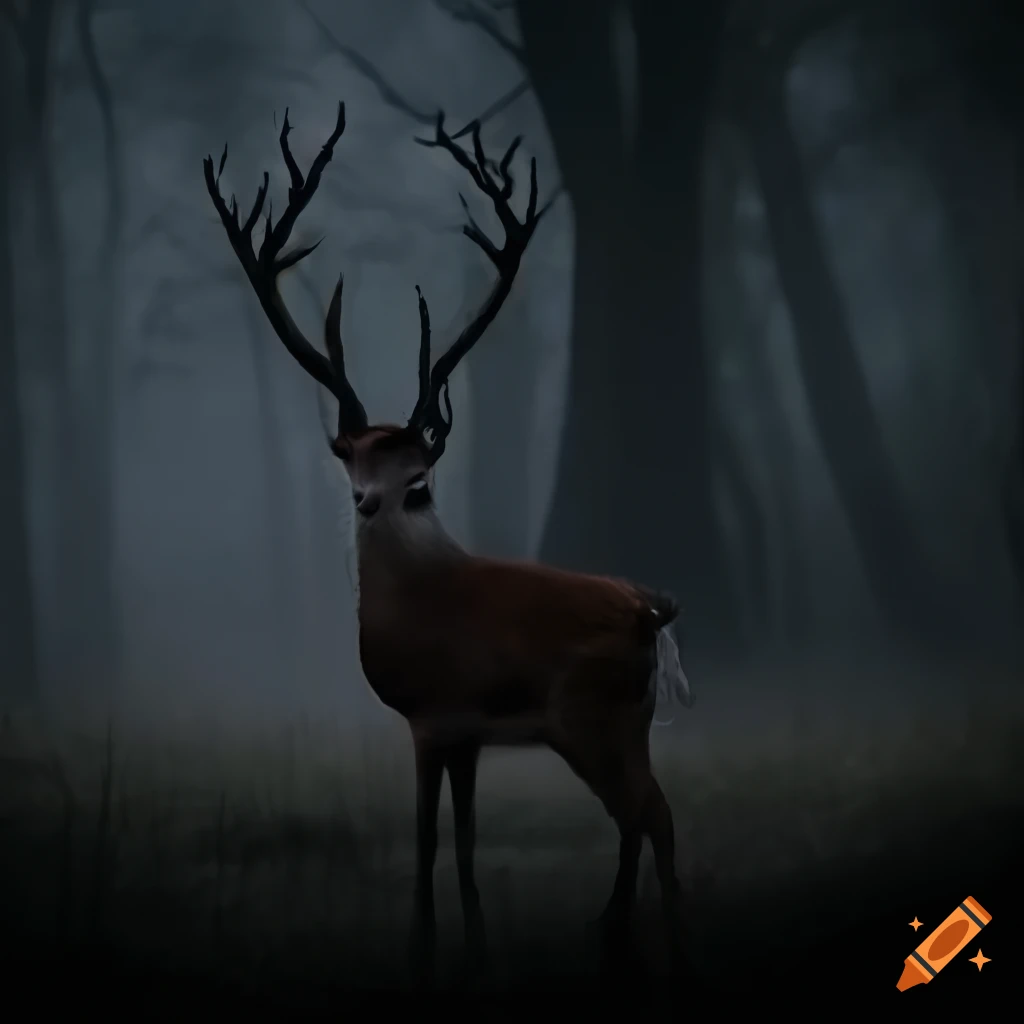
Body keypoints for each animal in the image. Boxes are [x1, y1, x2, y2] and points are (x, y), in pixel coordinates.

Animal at [203, 101, 696, 982]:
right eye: (353, 463)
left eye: (419, 479)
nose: (368, 504)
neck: (415, 604)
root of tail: (651, 613)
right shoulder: (466, 733)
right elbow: (463, 842)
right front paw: (473, 945)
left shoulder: (430, 717)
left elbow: (430, 837)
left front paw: (421, 947)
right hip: (624, 722)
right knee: (643, 814)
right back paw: (614, 930)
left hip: (589, 717)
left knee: (651, 814)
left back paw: (652, 939)